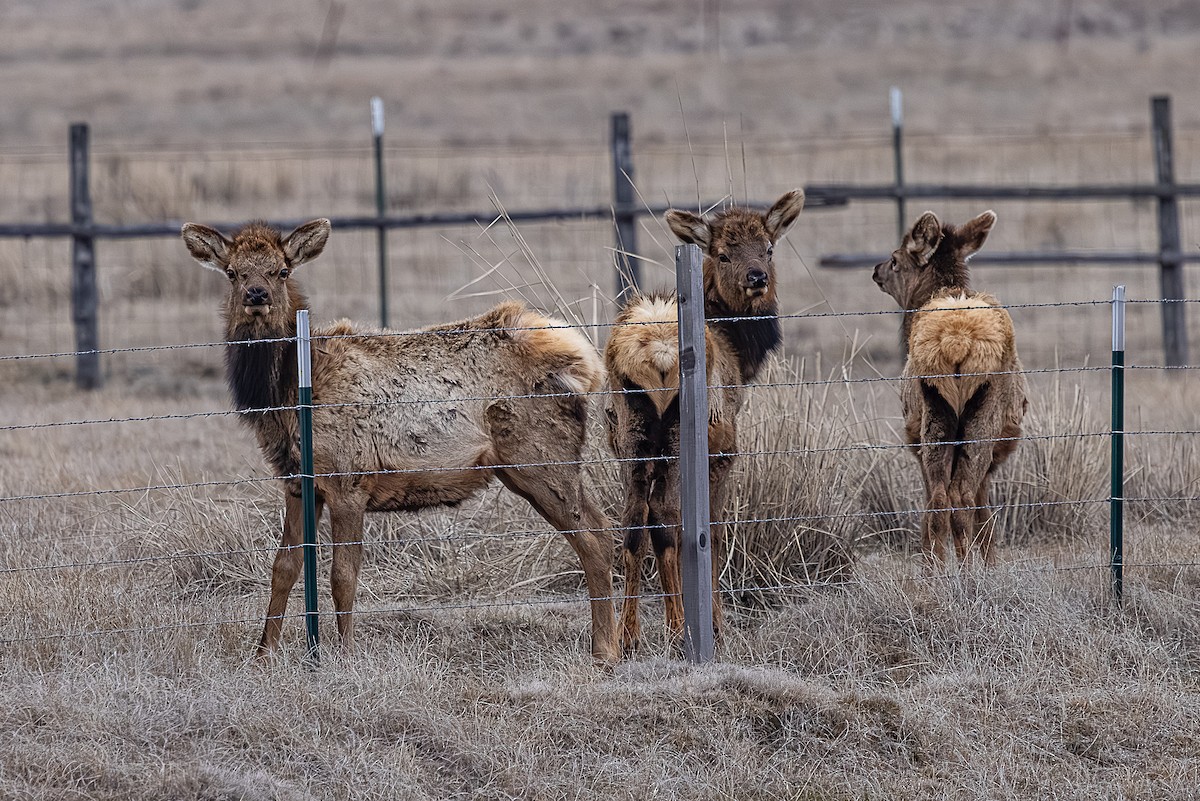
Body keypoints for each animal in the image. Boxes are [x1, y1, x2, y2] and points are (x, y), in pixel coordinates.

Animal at [180, 218, 620, 665]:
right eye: (232, 272)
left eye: (281, 270)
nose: (257, 295)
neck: (285, 395)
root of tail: (585, 362)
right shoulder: (296, 482)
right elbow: (284, 566)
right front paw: (262, 654)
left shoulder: (349, 479)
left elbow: (343, 575)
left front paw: (346, 654)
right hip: (527, 467)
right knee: (602, 530)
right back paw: (619, 640)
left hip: (541, 457)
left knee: (596, 537)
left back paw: (606, 648)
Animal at [604, 190, 805, 654]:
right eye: (723, 253)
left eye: (768, 247)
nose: (756, 277)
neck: (740, 355)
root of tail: (653, 350)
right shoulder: (723, 449)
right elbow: (710, 532)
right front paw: (717, 625)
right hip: (679, 436)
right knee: (665, 517)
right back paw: (680, 629)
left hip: (632, 434)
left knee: (633, 522)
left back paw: (629, 637)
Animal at [872, 210, 1027, 567]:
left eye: (895, 259)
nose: (876, 270)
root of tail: (956, 341)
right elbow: (983, 513)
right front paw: (990, 562)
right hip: (972, 419)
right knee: (958, 496)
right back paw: (960, 568)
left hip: (937, 417)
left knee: (944, 500)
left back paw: (945, 568)